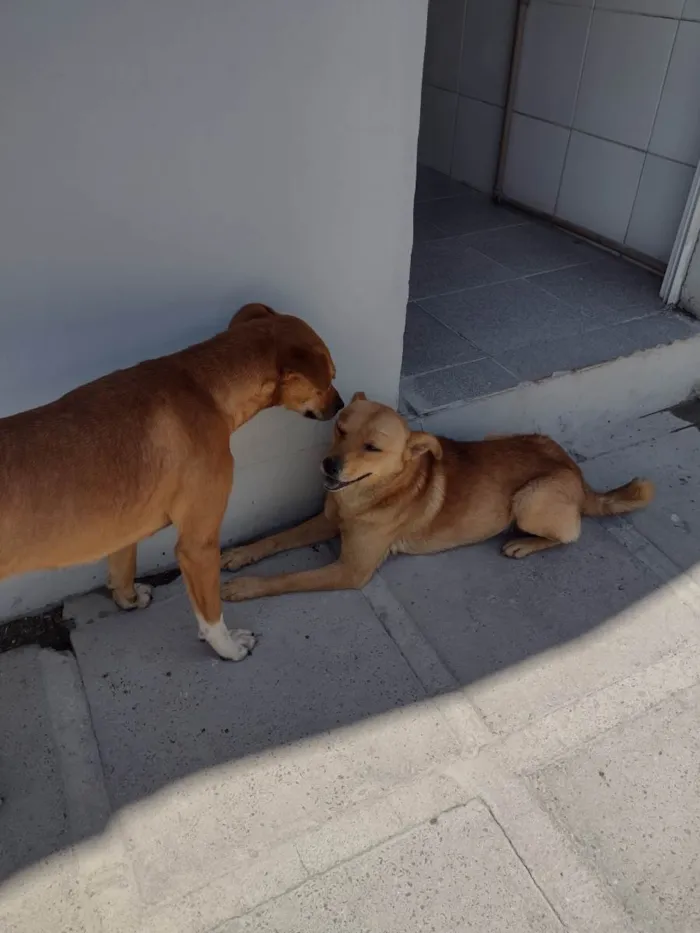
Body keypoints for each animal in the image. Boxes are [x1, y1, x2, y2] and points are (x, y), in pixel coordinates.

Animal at [0, 302, 342, 660]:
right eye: (330, 377)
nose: (342, 404)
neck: (202, 385)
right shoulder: (197, 546)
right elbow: (211, 615)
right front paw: (228, 647)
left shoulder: (125, 524)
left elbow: (123, 565)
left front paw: (128, 599)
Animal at [221, 392, 652, 596]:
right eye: (340, 429)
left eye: (372, 448)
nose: (329, 466)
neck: (371, 494)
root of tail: (577, 472)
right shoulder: (326, 522)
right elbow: (276, 538)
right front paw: (241, 554)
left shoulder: (351, 571)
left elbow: (287, 578)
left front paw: (246, 587)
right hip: (497, 436)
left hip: (529, 501)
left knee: (570, 534)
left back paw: (524, 544)